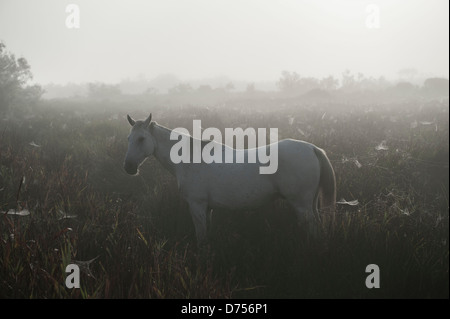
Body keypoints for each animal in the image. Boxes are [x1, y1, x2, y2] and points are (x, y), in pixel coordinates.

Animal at [123, 114, 334, 248]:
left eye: (141, 139)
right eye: (128, 138)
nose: (128, 167)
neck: (190, 159)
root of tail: (313, 148)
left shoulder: (197, 205)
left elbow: (201, 237)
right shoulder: (207, 208)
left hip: (301, 206)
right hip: (310, 204)